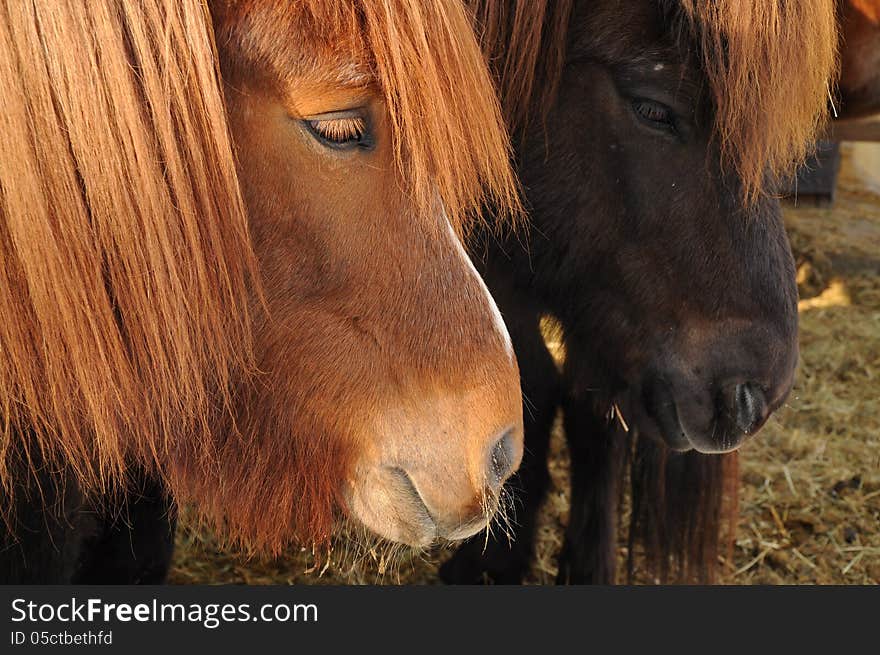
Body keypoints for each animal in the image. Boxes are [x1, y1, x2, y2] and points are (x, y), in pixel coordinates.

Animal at [444, 0, 836, 584]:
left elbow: (593, 415)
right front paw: (493, 560)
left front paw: (587, 564)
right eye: (653, 109)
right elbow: (530, 387)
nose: (752, 399)